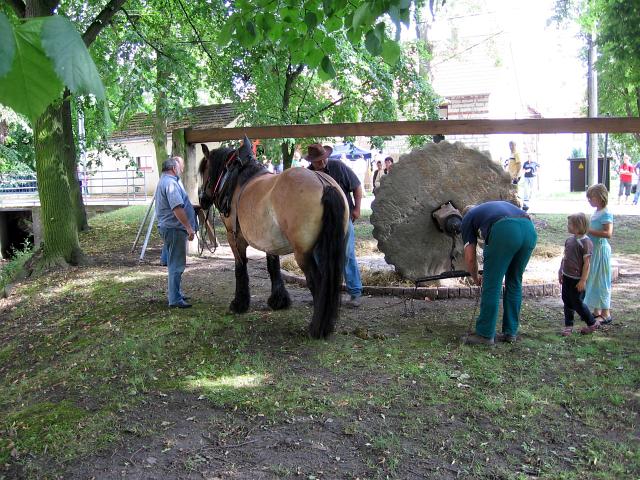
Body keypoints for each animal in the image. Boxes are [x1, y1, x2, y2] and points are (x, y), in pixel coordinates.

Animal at [200, 139, 350, 340]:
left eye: (204, 170)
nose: (201, 199)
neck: (236, 180)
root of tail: (323, 183)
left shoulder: (234, 238)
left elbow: (240, 268)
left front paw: (239, 303)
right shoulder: (271, 242)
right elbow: (273, 267)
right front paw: (279, 300)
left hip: (303, 254)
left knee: (317, 283)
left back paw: (317, 328)